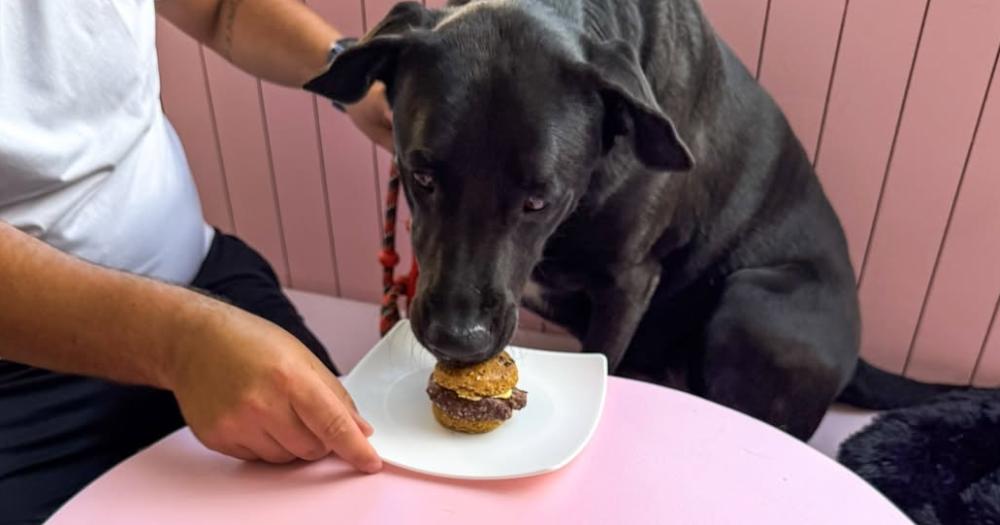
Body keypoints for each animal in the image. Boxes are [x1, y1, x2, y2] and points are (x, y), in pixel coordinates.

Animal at [320, 0, 960, 438]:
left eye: (538, 201)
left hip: (753, 300)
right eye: (421, 176)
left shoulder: (628, 284)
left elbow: (605, 352)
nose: (458, 339)